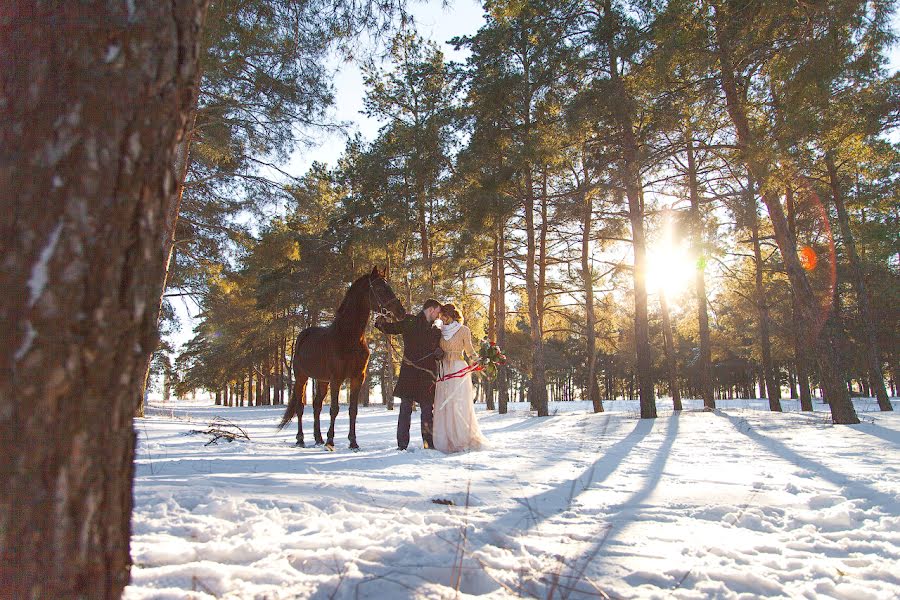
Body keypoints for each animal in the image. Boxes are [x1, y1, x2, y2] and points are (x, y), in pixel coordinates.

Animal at [274, 268, 400, 450]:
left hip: (322, 380)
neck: (348, 338)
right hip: (301, 378)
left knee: (317, 406)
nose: (400, 311)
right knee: (300, 407)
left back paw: (318, 438)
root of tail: (303, 336)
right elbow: (334, 409)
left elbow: (353, 410)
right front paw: (331, 440)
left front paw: (353, 442)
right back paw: (301, 439)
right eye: (380, 288)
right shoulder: (337, 379)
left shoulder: (357, 378)